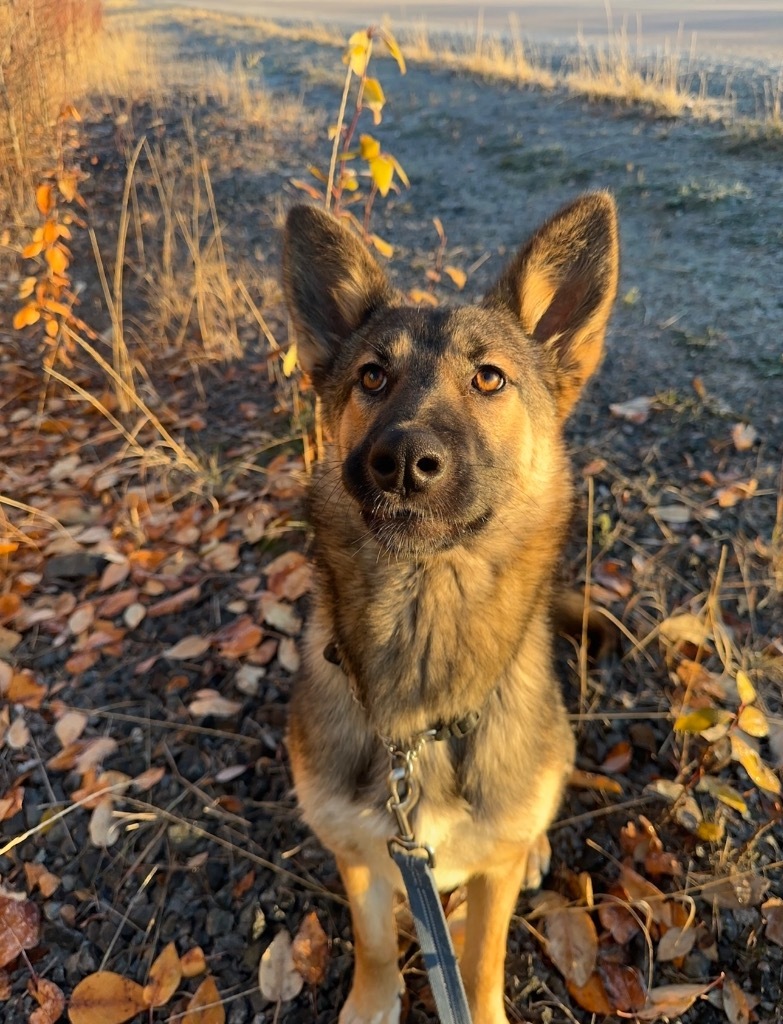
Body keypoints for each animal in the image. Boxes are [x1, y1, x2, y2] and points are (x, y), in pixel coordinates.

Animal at [280, 193, 618, 1024]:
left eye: (489, 378)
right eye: (371, 376)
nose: (401, 462)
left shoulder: (486, 882)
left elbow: (481, 960)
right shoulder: (362, 854)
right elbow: (372, 941)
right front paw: (371, 1003)